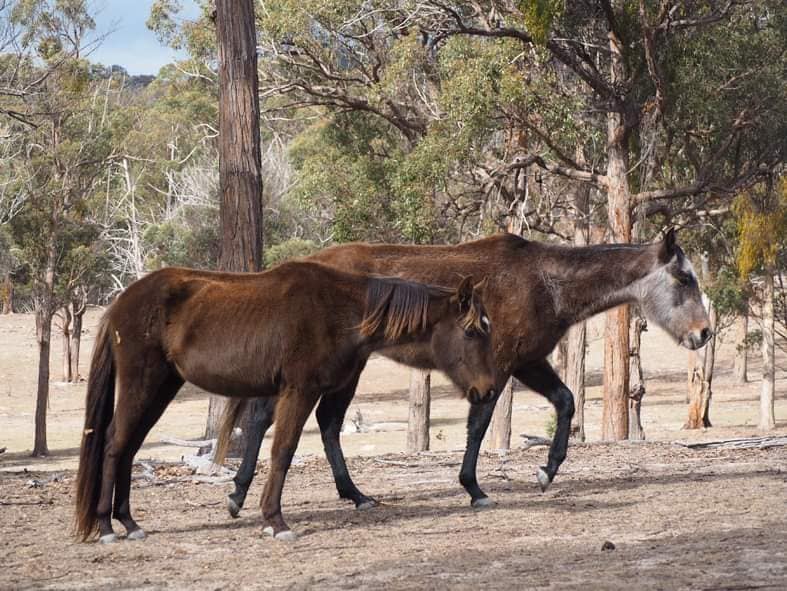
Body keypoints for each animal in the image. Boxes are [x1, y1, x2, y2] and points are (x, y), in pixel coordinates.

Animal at [72, 262, 492, 544]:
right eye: (472, 330)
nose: (487, 391)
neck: (339, 309)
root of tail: (120, 303)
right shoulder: (299, 390)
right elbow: (283, 451)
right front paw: (275, 520)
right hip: (143, 384)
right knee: (114, 444)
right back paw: (107, 525)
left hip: (161, 386)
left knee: (127, 445)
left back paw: (127, 522)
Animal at [223, 229, 716, 516]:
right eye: (684, 278)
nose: (704, 332)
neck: (546, 282)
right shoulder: (498, 366)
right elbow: (479, 426)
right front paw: (474, 487)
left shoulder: (528, 362)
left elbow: (565, 401)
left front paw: (547, 470)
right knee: (283, 417)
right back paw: (249, 492)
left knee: (313, 421)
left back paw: (344, 494)